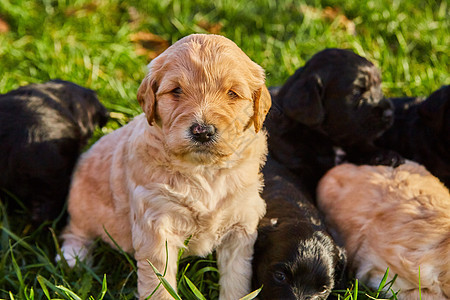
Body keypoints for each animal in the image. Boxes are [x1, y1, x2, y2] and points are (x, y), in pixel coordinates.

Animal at [59, 33, 270, 300]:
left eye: (232, 93)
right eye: (176, 91)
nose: (202, 131)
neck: (203, 171)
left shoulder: (241, 223)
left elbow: (236, 279)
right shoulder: (156, 224)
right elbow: (159, 285)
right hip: (81, 201)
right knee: (75, 229)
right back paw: (72, 257)